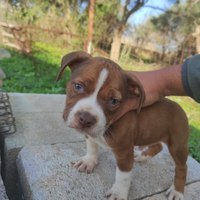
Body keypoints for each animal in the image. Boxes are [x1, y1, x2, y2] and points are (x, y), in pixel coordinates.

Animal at [55, 51, 189, 200]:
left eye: (114, 101)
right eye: (78, 86)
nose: (86, 119)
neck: (109, 124)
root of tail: (181, 108)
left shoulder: (124, 152)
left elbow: (123, 176)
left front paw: (118, 193)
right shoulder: (91, 135)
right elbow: (92, 147)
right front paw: (88, 161)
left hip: (177, 144)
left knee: (182, 167)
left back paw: (177, 191)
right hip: (154, 132)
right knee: (158, 146)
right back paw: (142, 155)